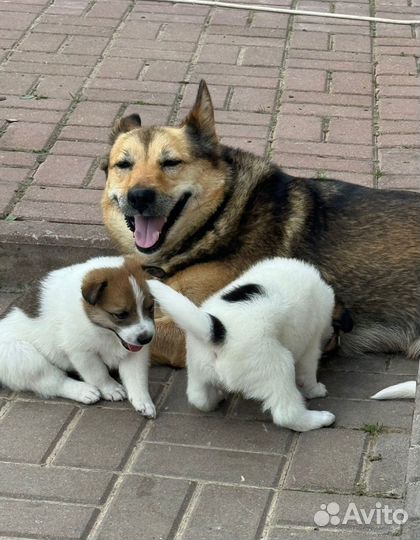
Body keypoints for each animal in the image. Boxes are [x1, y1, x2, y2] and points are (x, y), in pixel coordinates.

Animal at [0, 254, 156, 418]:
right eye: (120, 315)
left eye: (151, 307)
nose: (146, 339)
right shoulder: (82, 352)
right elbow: (98, 373)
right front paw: (110, 388)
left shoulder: (134, 353)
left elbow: (137, 379)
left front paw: (143, 402)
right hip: (23, 356)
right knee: (52, 381)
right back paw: (84, 391)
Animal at [148, 256, 334, 430]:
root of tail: (218, 331)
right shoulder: (311, 343)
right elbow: (308, 373)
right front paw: (315, 390)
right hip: (276, 365)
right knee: (286, 414)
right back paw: (319, 419)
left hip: (197, 366)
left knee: (198, 398)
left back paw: (216, 397)